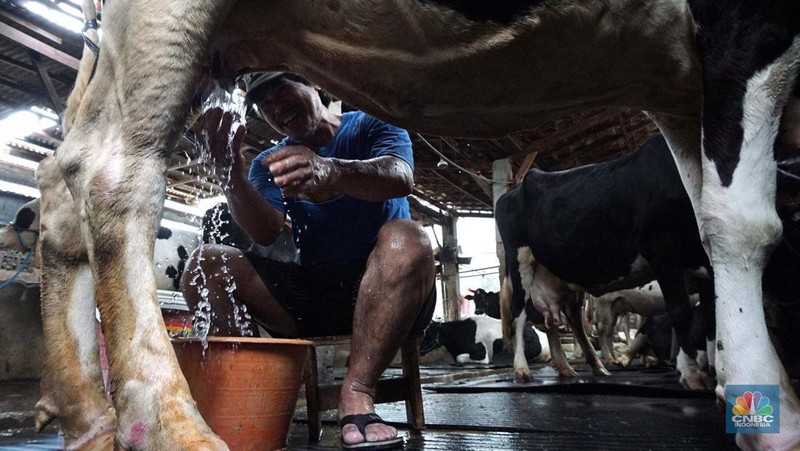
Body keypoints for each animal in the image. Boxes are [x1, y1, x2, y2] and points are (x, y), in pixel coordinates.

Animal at [42, 0, 800, 450]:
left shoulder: (674, 84)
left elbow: (708, 215)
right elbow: (739, 225)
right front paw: (772, 409)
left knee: (59, 182)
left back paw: (87, 419)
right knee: (111, 172)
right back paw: (172, 427)